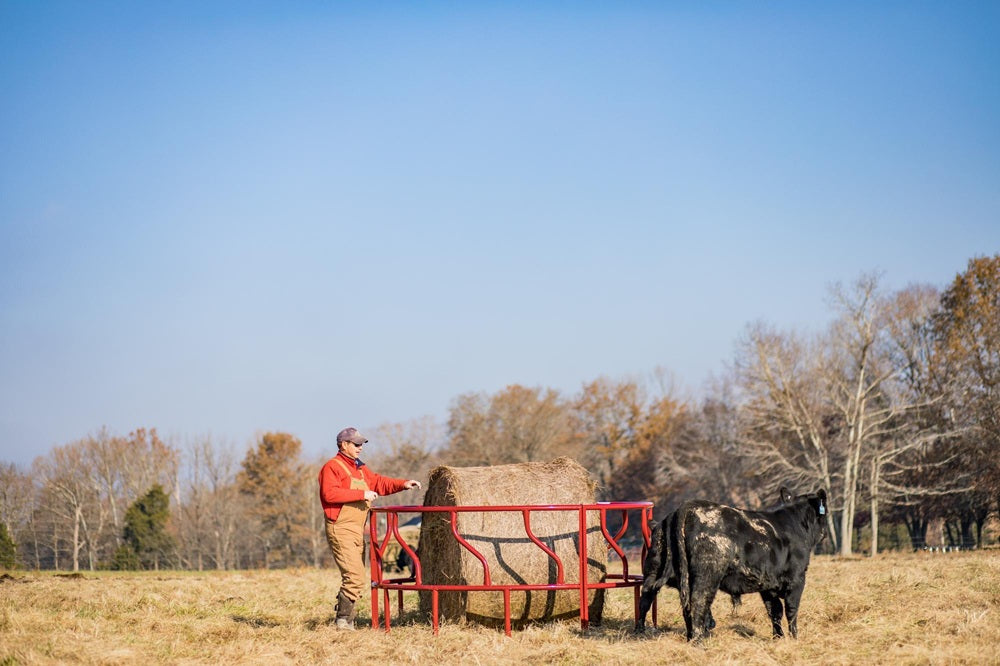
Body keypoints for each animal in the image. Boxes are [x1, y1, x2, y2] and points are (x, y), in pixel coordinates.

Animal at [671, 487, 828, 641]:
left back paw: (692, 637)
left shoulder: (768, 585)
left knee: (687, 606)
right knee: (699, 601)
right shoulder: (797, 579)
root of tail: (691, 505)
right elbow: (791, 610)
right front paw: (794, 638)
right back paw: (698, 640)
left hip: (684, 577)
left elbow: (774, 611)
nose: (824, 531)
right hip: (707, 574)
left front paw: (778, 638)